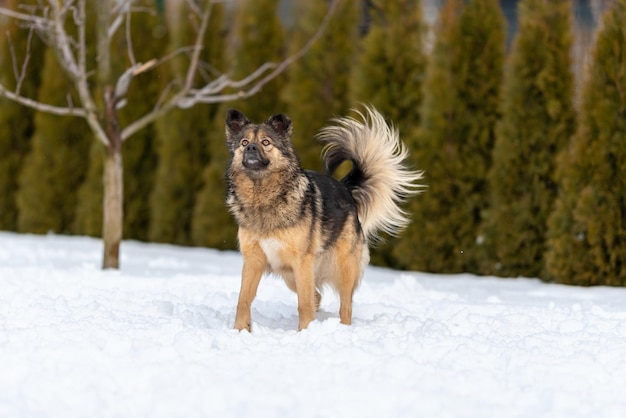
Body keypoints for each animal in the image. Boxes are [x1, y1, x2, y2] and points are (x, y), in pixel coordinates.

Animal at [222, 106, 422, 332]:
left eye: (265, 142)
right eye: (243, 142)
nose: (251, 149)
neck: (262, 196)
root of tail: (345, 189)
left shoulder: (301, 261)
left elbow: (304, 303)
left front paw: (305, 332)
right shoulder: (254, 260)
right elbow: (243, 299)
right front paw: (240, 329)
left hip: (342, 267)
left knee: (345, 305)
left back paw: (343, 327)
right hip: (291, 273)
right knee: (316, 294)